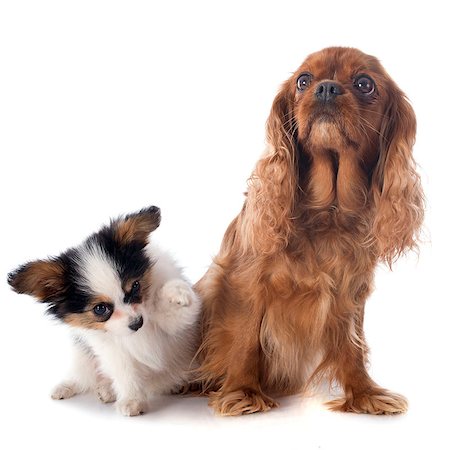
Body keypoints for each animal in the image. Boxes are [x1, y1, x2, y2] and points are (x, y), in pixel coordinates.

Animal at [6, 206, 200, 416]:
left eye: (136, 286)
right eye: (100, 309)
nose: (137, 323)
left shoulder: (175, 328)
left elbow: (174, 312)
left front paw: (176, 292)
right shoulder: (109, 347)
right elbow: (124, 372)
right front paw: (132, 400)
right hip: (83, 355)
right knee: (84, 375)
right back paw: (76, 387)